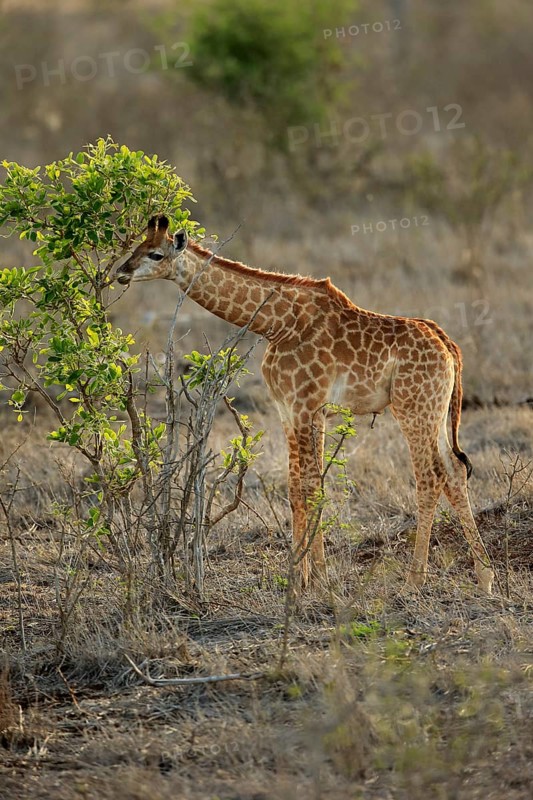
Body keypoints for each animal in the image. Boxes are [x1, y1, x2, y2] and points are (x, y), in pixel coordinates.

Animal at [115, 215, 494, 594]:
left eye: (155, 254)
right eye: (136, 246)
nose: (121, 272)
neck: (276, 323)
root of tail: (448, 346)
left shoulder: (304, 404)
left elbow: (310, 486)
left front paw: (309, 579)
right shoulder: (294, 409)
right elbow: (298, 487)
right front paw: (307, 576)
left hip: (413, 408)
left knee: (430, 477)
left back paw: (414, 581)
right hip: (436, 410)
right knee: (454, 472)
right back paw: (485, 577)